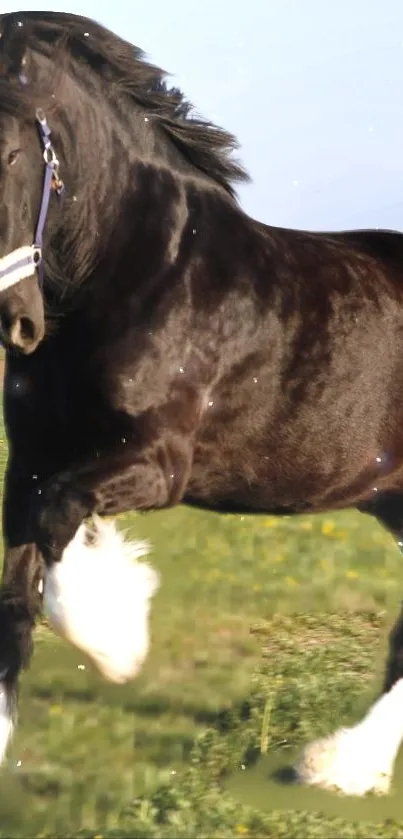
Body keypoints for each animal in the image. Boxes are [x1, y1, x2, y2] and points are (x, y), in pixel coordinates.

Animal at [0, 9, 403, 800]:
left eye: (8, 152)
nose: (13, 321)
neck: (130, 269)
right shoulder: (26, 462)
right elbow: (12, 601)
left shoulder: (158, 464)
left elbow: (63, 526)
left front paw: (119, 636)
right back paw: (343, 764)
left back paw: (336, 764)